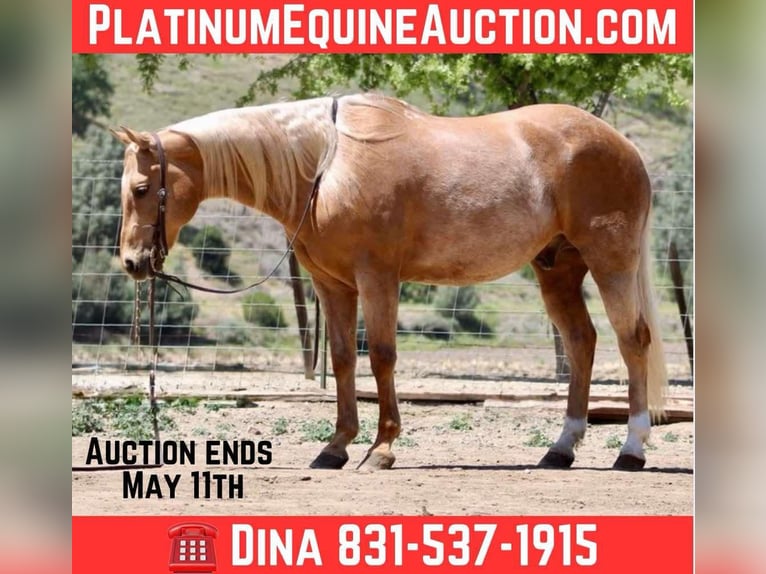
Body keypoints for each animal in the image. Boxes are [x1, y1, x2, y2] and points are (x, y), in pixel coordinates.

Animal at [112, 93, 667, 471]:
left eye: (141, 188)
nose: (133, 263)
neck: (328, 164)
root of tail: (625, 147)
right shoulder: (332, 285)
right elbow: (341, 359)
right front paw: (335, 447)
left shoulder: (377, 276)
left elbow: (380, 356)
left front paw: (381, 448)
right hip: (557, 269)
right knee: (581, 342)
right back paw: (561, 448)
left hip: (610, 262)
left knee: (632, 340)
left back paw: (631, 449)